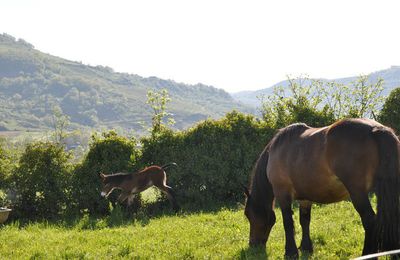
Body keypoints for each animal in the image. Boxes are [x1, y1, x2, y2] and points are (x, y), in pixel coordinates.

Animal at [244, 118, 400, 258]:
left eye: (248, 214)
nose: (253, 244)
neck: (276, 151)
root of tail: (377, 129)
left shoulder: (282, 194)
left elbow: (288, 222)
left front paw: (290, 252)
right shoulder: (305, 198)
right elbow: (304, 220)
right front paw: (306, 247)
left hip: (357, 192)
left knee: (370, 221)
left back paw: (367, 254)